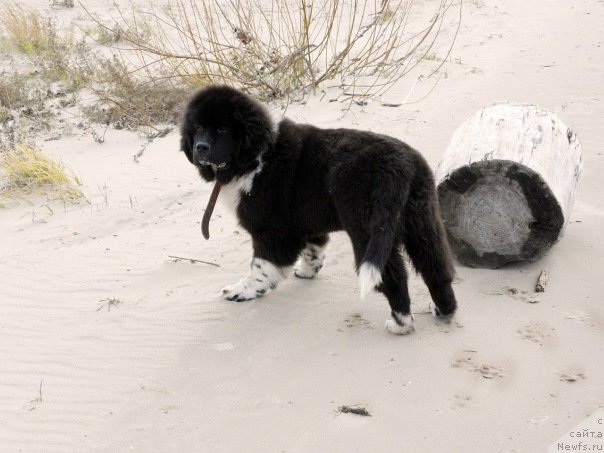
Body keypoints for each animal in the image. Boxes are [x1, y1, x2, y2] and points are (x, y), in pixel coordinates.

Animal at [179, 84, 458, 332]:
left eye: (222, 129)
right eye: (199, 128)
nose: (200, 148)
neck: (256, 155)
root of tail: (398, 164)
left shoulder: (271, 231)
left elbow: (262, 266)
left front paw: (242, 291)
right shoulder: (304, 223)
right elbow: (314, 247)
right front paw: (307, 271)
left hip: (367, 229)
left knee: (394, 275)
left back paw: (401, 323)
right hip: (421, 219)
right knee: (435, 265)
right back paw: (444, 309)